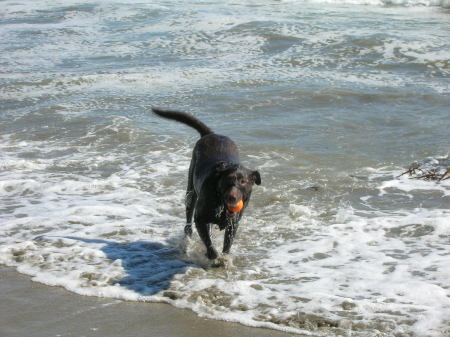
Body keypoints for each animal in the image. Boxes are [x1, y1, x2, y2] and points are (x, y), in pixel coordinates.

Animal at [153, 108, 262, 260]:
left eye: (243, 181)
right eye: (227, 179)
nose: (232, 197)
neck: (221, 203)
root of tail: (211, 134)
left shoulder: (233, 223)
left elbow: (227, 245)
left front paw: (224, 258)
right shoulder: (200, 218)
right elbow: (208, 242)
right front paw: (214, 257)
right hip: (191, 191)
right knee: (188, 220)